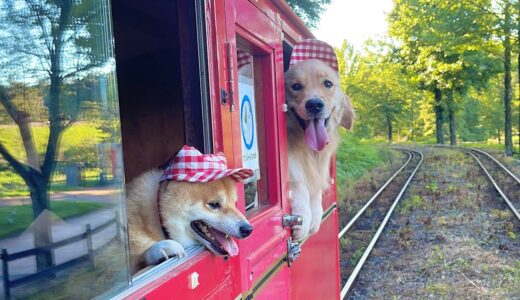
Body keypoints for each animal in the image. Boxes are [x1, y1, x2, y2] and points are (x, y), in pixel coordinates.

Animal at [284, 39, 354, 241]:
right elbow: (300, 183)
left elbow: (315, 191)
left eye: (328, 83)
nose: (314, 104)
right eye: (296, 86)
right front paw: (304, 217)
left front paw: (315, 216)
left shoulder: (319, 170)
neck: (307, 149)